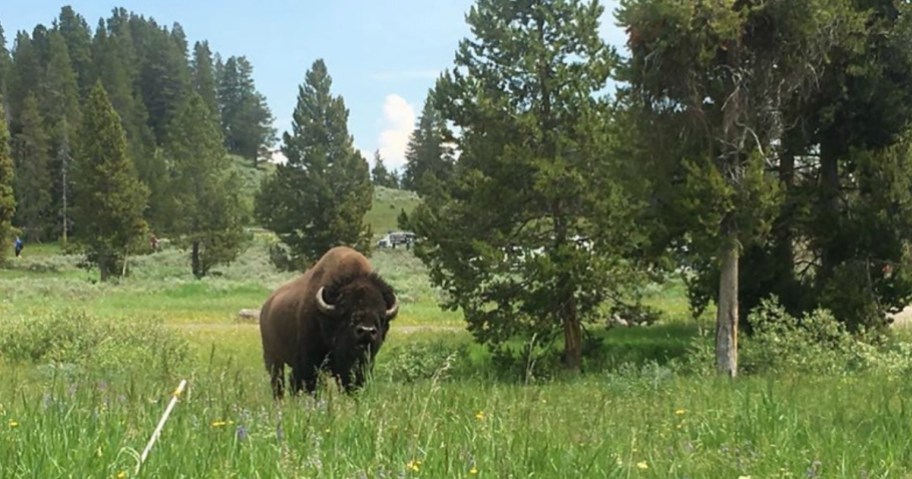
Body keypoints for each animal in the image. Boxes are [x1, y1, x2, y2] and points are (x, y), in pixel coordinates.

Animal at [258, 248, 398, 398]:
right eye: (345, 311)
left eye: (381, 316)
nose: (366, 331)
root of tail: (266, 306)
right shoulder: (309, 362)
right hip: (273, 359)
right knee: (278, 382)